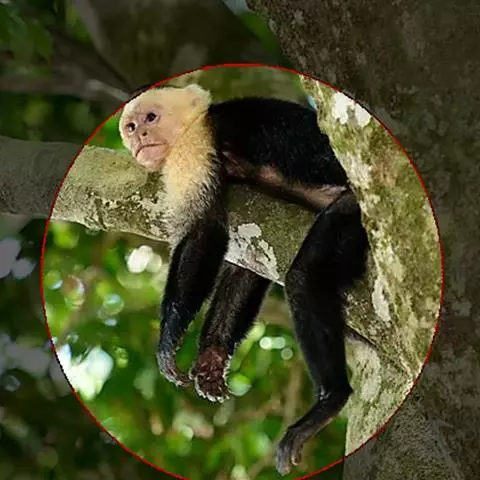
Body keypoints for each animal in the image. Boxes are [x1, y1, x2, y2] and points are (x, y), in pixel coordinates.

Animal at [119, 84, 369, 475]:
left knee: (304, 277)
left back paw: (330, 400)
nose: (140, 136)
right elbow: (245, 269)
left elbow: (205, 234)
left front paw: (168, 340)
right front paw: (212, 357)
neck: (193, 125)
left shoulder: (195, 145)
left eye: (151, 118)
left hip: (358, 212)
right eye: (131, 126)